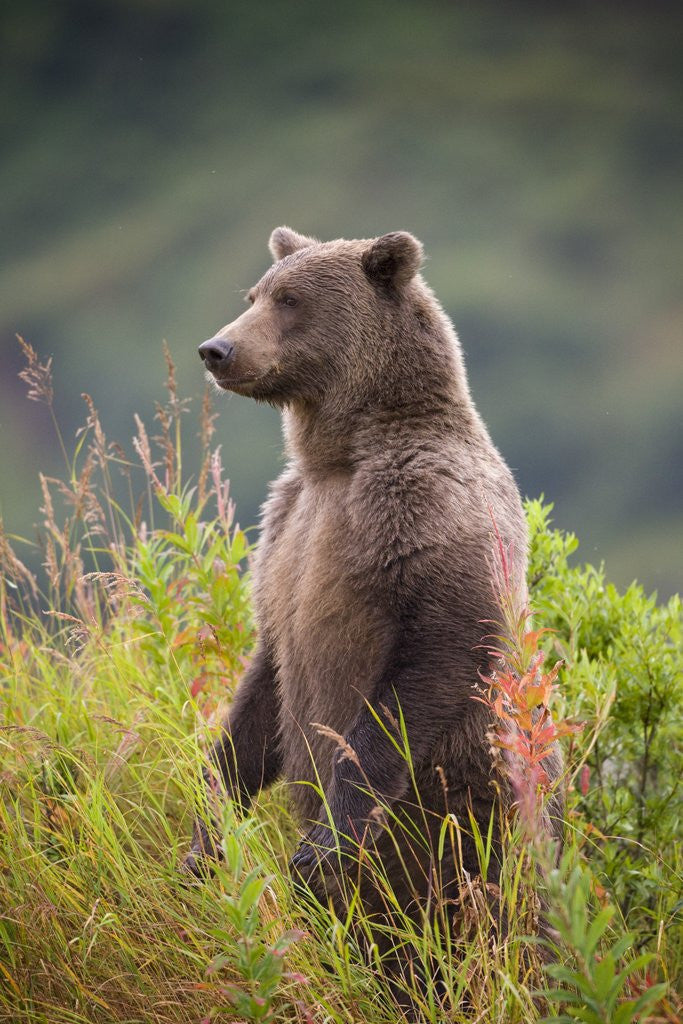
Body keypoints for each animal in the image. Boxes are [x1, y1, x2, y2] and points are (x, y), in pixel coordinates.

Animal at [187, 226, 562, 948]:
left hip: (475, 810)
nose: (215, 348)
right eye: (255, 294)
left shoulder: (427, 512)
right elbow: (262, 686)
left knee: (485, 903)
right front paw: (206, 829)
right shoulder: (285, 533)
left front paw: (323, 843)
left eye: (290, 299)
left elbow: (432, 659)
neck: (340, 458)